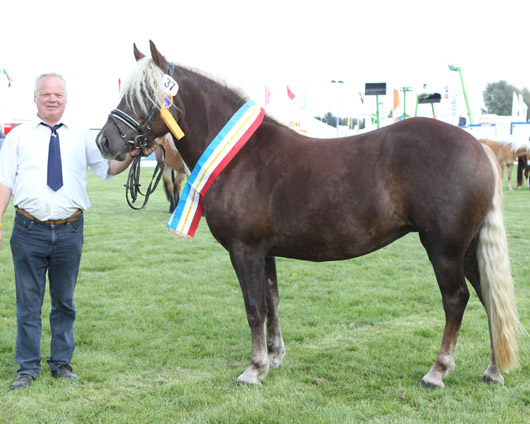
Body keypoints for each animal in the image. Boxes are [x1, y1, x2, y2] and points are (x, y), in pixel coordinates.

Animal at [96, 41, 520, 390]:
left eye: (143, 95)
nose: (104, 141)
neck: (243, 157)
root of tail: (478, 146)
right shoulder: (264, 251)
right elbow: (271, 301)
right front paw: (273, 358)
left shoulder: (244, 249)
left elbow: (254, 307)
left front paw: (253, 369)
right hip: (468, 249)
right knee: (488, 297)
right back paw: (493, 370)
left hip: (444, 248)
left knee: (456, 299)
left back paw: (437, 371)